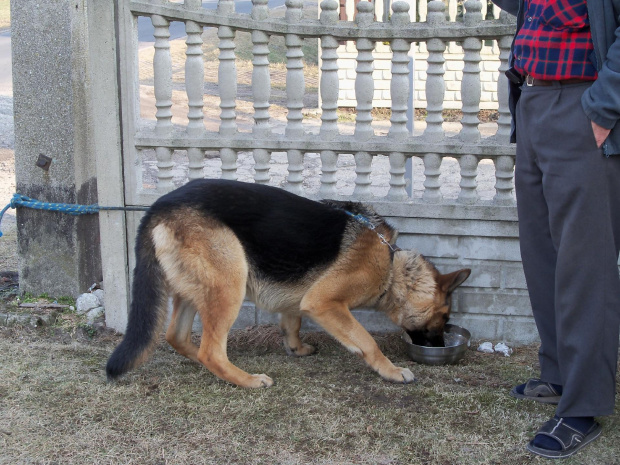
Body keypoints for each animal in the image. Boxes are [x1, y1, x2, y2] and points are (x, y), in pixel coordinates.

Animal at [106, 179, 470, 386]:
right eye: (445, 317)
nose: (439, 346)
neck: (392, 263)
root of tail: (159, 205)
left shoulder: (301, 300)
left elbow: (292, 322)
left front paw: (296, 348)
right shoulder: (325, 303)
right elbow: (367, 341)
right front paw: (391, 371)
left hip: (196, 290)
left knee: (177, 336)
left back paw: (202, 361)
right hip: (230, 284)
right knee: (211, 350)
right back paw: (246, 380)